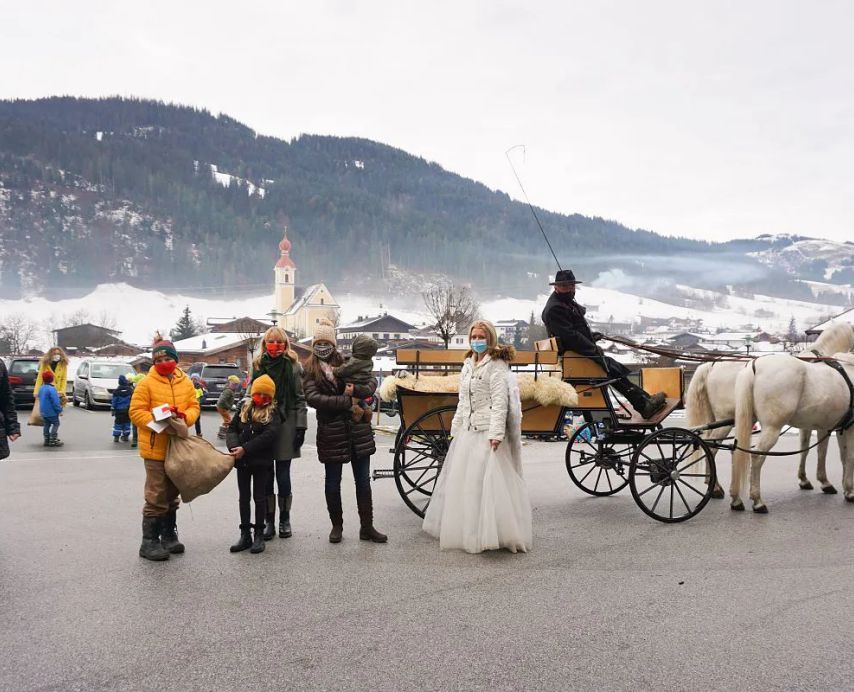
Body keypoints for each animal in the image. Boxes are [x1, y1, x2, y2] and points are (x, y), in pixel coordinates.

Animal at [684, 322, 854, 494]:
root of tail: (712, 365)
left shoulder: (817, 424)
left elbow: (809, 449)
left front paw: (806, 479)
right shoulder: (827, 426)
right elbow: (827, 452)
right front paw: (828, 483)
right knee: (716, 449)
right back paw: (721, 488)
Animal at [728, 354, 854, 510]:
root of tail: (754, 364)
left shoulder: (834, 427)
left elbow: (835, 454)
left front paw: (837, 486)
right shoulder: (849, 427)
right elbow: (850, 456)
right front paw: (850, 491)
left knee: (736, 451)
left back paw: (736, 499)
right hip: (772, 427)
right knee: (757, 456)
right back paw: (757, 501)